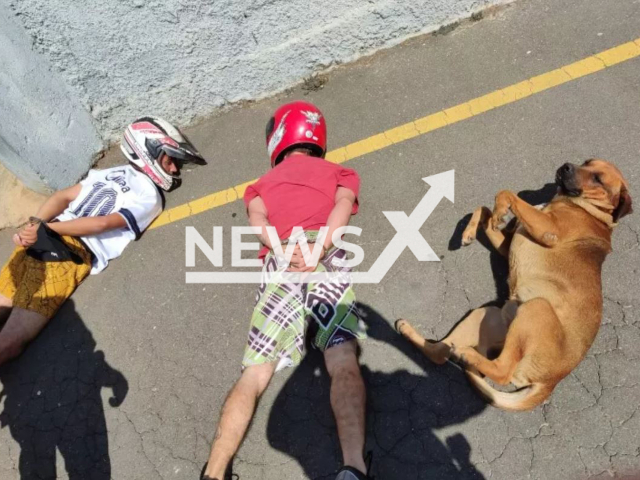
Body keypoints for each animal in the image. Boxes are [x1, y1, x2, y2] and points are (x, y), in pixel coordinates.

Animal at [398, 159, 632, 410]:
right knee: (440, 354)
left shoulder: (548, 231)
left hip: (536, 307)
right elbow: (484, 209)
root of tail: (551, 383)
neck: (589, 209)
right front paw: (474, 229)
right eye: (587, 162)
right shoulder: (506, 243)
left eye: (598, 179)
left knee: (502, 371)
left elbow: (506, 193)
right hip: (487, 316)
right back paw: (409, 331)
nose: (566, 166)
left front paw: (498, 210)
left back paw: (465, 355)